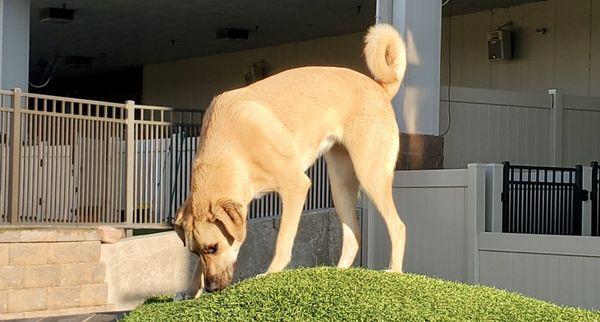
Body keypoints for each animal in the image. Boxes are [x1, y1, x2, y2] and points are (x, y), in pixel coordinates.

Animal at [173, 24, 408, 300]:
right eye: (196, 252)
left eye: (213, 247)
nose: (211, 288)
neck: (232, 149)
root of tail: (380, 88)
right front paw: (190, 289)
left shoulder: (296, 186)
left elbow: (282, 241)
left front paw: (270, 273)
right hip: (340, 186)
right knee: (353, 236)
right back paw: (336, 274)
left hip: (370, 175)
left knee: (398, 227)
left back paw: (394, 272)